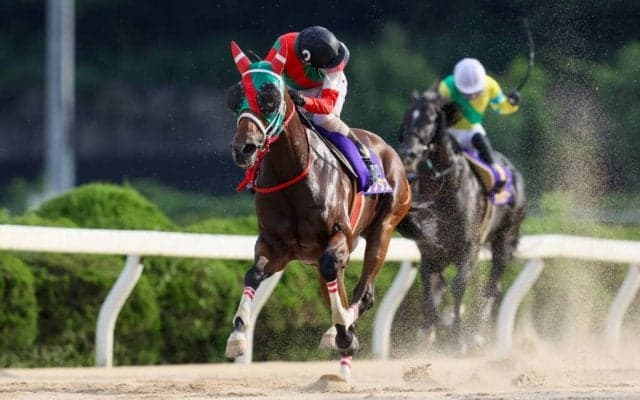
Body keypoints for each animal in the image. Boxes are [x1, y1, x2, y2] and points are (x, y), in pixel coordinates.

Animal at [224, 41, 411, 380]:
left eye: (270, 97)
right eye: (235, 98)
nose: (244, 148)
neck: (292, 174)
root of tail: (388, 149)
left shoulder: (339, 238)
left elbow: (332, 269)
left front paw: (342, 332)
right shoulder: (275, 246)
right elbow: (253, 273)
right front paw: (237, 336)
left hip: (384, 227)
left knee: (363, 292)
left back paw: (341, 333)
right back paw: (342, 359)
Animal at [395, 89, 527, 352]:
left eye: (429, 119)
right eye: (406, 117)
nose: (408, 154)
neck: (444, 186)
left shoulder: (469, 247)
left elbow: (458, 286)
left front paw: (458, 339)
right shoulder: (430, 250)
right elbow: (430, 291)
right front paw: (426, 335)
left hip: (504, 239)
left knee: (493, 285)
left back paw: (477, 333)